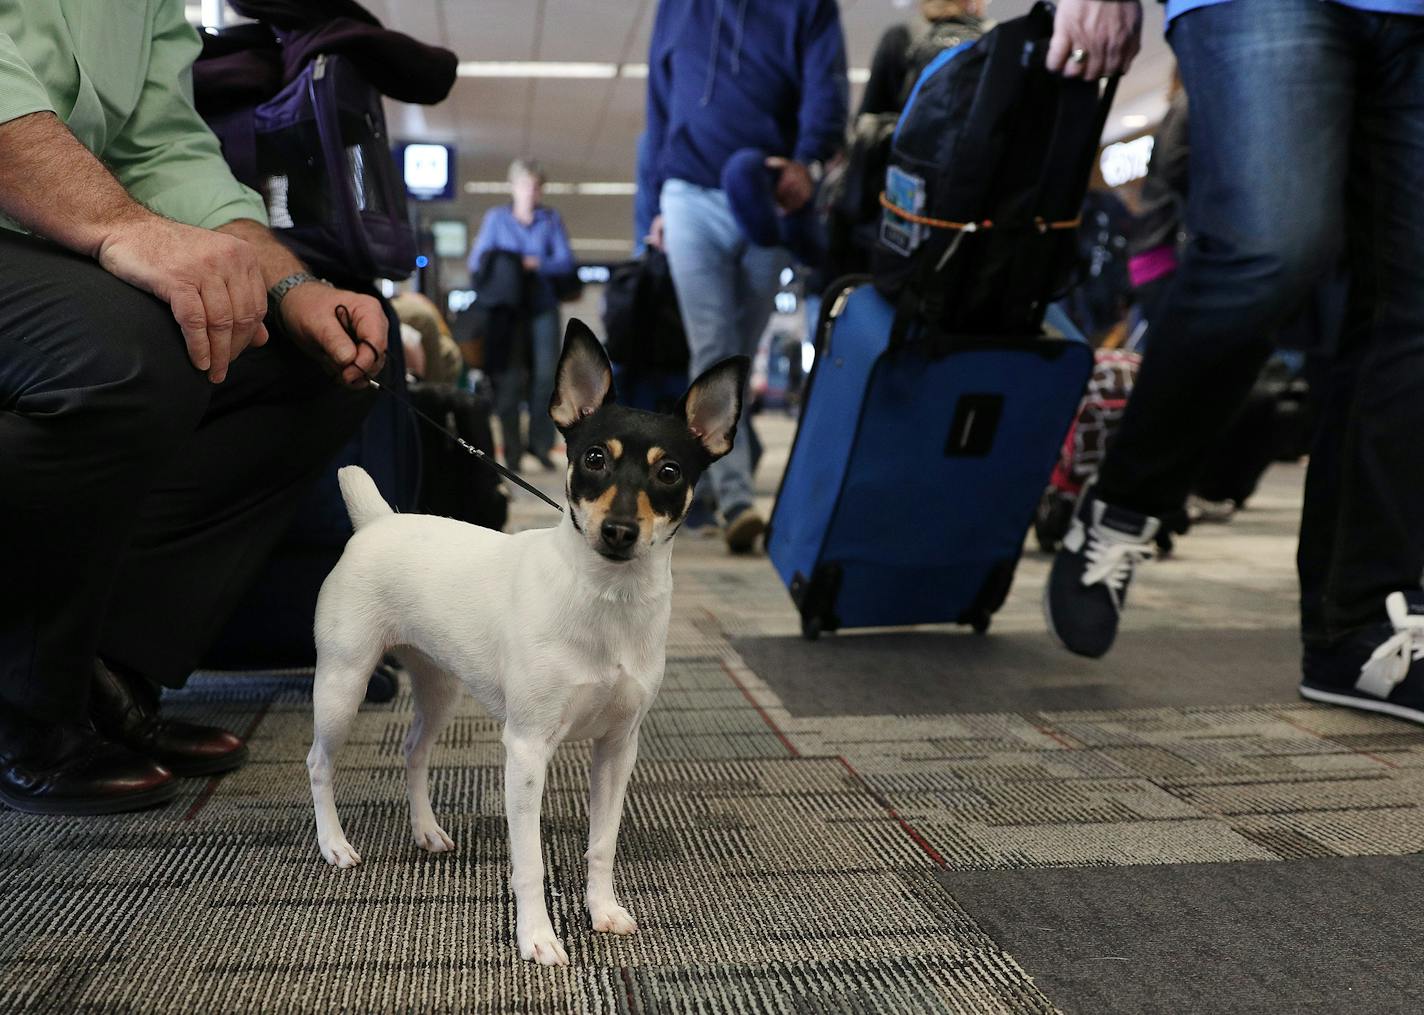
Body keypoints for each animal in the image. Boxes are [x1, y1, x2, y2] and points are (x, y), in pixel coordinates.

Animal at [306, 320, 751, 962]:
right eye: (594, 458)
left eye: (669, 473)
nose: (619, 530)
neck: (606, 603)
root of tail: (377, 521)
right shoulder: (525, 750)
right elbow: (529, 860)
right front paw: (537, 937)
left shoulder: (618, 748)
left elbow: (602, 843)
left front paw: (602, 910)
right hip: (343, 683)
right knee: (319, 762)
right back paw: (334, 844)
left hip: (439, 688)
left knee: (414, 752)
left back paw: (426, 829)